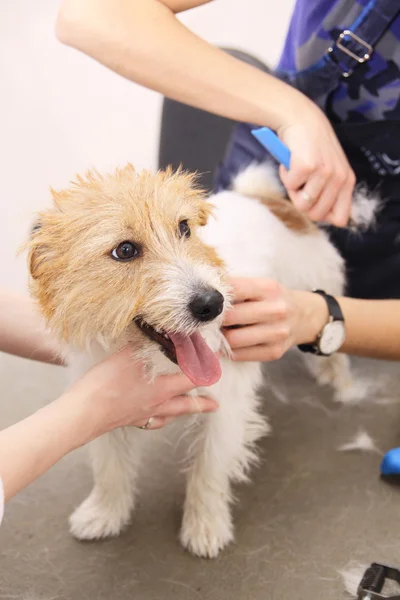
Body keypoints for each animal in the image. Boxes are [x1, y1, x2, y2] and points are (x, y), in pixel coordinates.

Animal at [26, 161, 376, 556]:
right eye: (125, 250)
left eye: (184, 228)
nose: (213, 304)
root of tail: (266, 199)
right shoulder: (104, 403)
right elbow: (110, 467)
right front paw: (104, 512)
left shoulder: (225, 407)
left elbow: (208, 470)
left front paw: (205, 526)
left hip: (321, 287)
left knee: (334, 337)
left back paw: (342, 384)